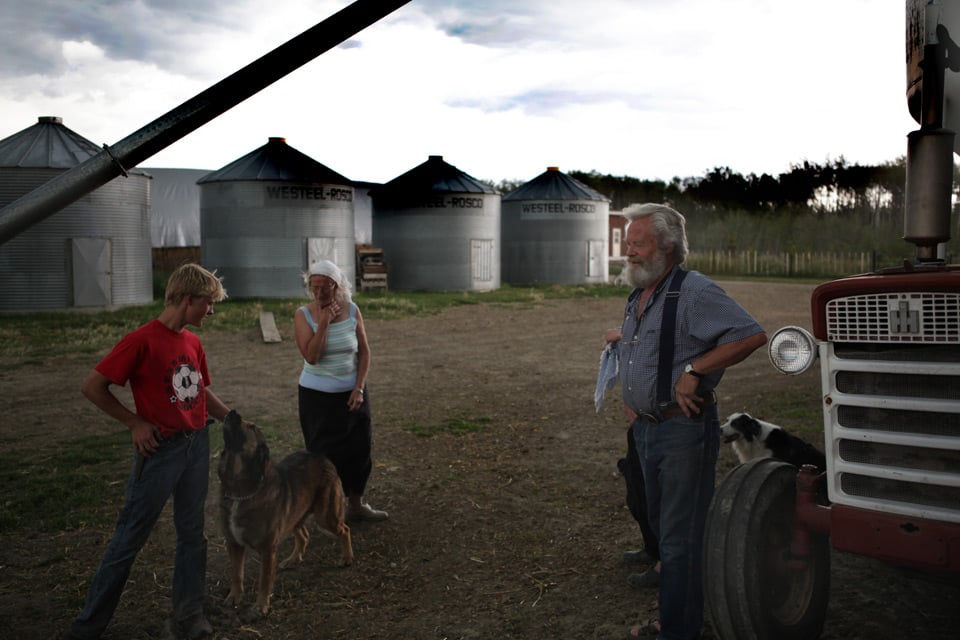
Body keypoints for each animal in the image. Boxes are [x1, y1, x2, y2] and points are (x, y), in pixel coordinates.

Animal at [218, 412, 352, 616]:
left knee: (344, 529)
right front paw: (234, 596)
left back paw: (346, 558)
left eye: (252, 427)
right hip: (294, 515)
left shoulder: (268, 548)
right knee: (304, 535)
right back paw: (293, 559)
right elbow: (236, 573)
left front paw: (261, 605)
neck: (239, 491)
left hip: (325, 516)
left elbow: (264, 580)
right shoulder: (234, 544)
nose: (232, 412)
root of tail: (321, 456)